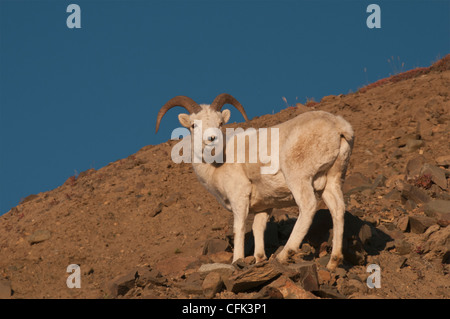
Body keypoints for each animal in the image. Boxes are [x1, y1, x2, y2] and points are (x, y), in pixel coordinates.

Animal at [156, 94, 354, 272]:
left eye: (220, 123)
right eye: (193, 125)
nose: (212, 139)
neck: (217, 165)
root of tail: (338, 126)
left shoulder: (239, 197)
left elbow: (239, 227)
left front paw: (237, 261)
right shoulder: (264, 207)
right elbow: (258, 228)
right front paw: (259, 260)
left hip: (299, 178)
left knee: (308, 206)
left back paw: (284, 255)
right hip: (332, 180)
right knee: (338, 209)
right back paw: (333, 262)